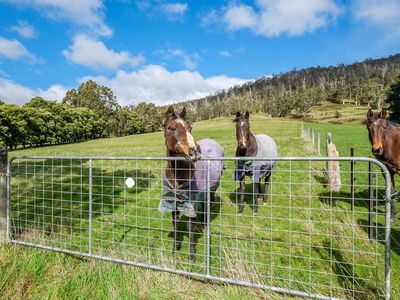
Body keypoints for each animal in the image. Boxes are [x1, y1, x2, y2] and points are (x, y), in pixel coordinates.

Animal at [159, 105, 222, 260]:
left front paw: (192, 255)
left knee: (208, 203)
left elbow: (190, 228)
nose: (195, 151)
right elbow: (175, 224)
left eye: (190, 127)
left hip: (212, 189)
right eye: (172, 128)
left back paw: (205, 222)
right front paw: (175, 249)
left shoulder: (191, 204)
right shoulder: (173, 203)